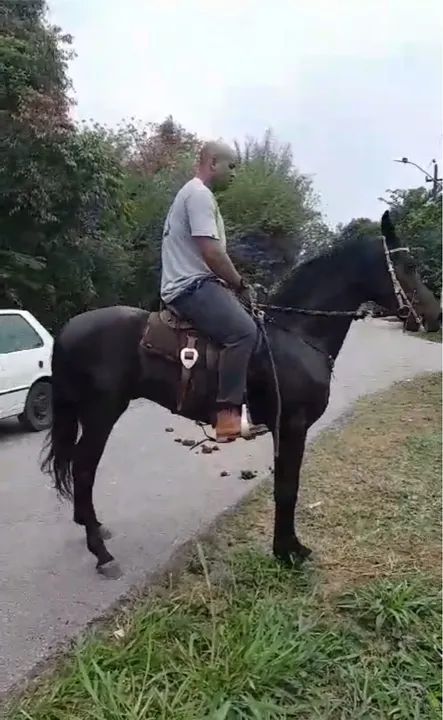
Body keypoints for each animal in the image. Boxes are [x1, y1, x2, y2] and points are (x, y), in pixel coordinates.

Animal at [41, 211, 439, 578]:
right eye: (408, 266)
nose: (435, 315)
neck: (296, 334)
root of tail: (68, 329)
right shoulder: (292, 426)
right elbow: (288, 489)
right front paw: (288, 553)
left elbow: (285, 485)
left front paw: (287, 548)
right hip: (101, 413)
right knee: (84, 468)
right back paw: (101, 553)